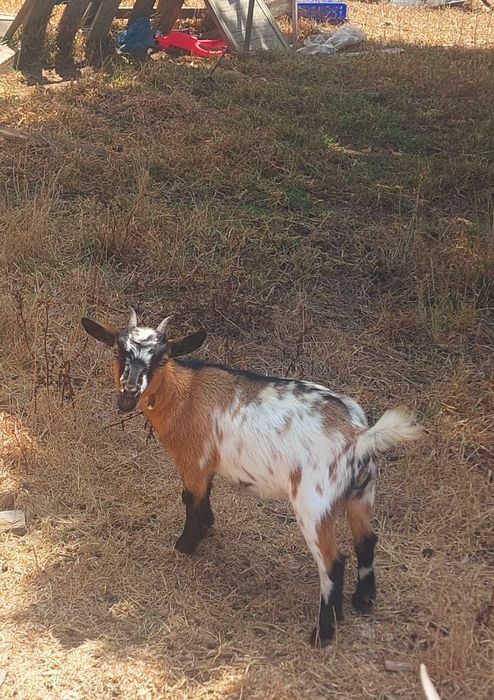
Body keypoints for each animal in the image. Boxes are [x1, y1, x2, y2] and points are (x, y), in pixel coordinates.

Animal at [82, 309, 422, 646]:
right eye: (117, 351)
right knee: (366, 540)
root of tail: (359, 434)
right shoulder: (208, 467)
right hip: (361, 493)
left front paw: (186, 545)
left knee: (333, 563)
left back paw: (323, 633)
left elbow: (191, 501)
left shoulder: (194, 462)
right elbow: (205, 499)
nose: (129, 392)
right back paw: (363, 601)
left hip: (315, 504)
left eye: (162, 359)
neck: (185, 394)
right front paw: (207, 529)